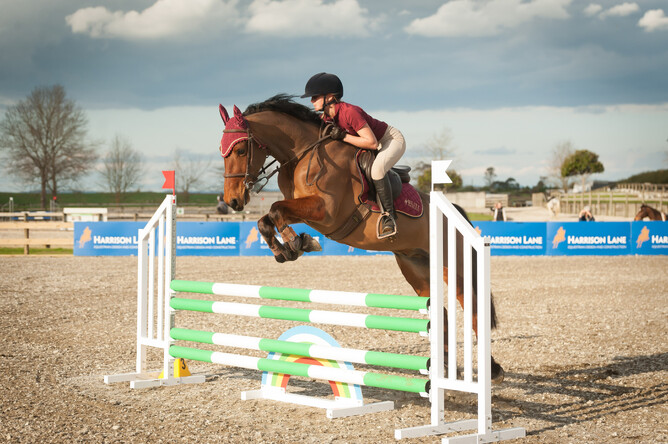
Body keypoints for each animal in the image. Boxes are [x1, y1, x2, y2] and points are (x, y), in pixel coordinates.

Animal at [218, 94, 504, 383]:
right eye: (222, 152)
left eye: (240, 151)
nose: (233, 201)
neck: (305, 153)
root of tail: (455, 212)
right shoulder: (305, 211)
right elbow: (266, 219)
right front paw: (286, 250)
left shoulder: (326, 211)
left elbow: (276, 209)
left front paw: (299, 243)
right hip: (416, 267)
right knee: (440, 313)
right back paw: (442, 368)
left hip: (454, 267)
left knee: (472, 308)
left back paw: (492, 370)